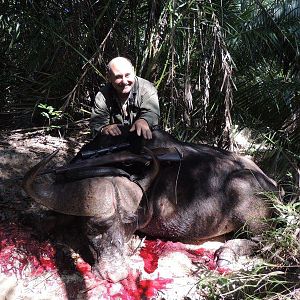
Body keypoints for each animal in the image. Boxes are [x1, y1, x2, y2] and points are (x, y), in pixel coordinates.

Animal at [22, 127, 278, 282]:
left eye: (128, 226)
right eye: (95, 227)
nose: (117, 274)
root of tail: (273, 186)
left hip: (244, 200)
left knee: (264, 241)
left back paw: (226, 253)